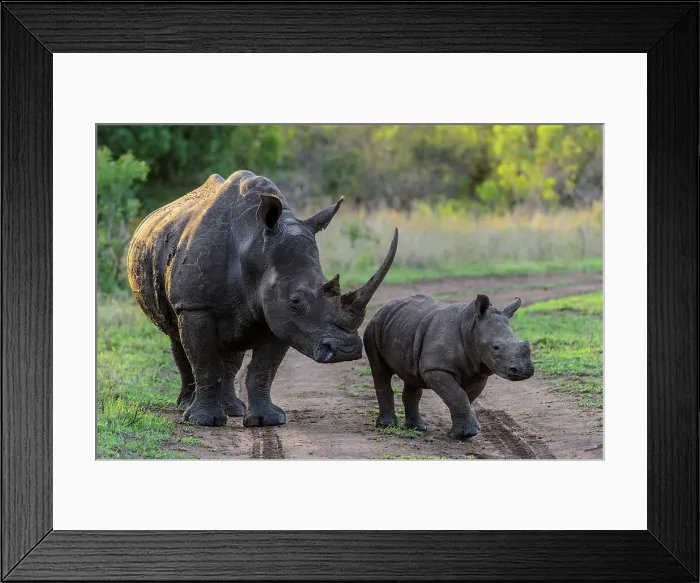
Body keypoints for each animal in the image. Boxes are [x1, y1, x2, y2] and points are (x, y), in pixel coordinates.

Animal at [127, 170, 398, 427]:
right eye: (296, 301)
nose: (345, 351)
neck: (254, 244)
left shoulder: (281, 317)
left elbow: (263, 369)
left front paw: (266, 421)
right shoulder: (195, 305)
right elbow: (205, 362)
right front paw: (203, 421)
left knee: (231, 348)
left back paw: (233, 410)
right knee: (177, 337)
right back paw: (187, 408)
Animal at [363, 293, 534, 440]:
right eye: (496, 347)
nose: (524, 371)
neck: (471, 328)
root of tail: (385, 307)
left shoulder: (478, 371)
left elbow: (465, 397)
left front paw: (459, 433)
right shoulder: (436, 368)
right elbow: (457, 395)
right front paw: (466, 434)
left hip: (406, 329)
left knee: (412, 377)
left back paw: (419, 427)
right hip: (374, 326)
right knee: (381, 372)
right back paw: (387, 425)